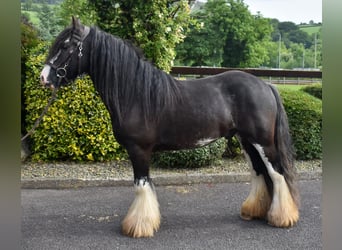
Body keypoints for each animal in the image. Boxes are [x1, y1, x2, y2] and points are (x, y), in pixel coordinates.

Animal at [40, 18, 298, 238]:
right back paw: (255, 212)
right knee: (260, 172)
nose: (44, 78)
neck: (134, 93)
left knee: (277, 174)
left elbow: (141, 186)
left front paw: (139, 227)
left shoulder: (139, 150)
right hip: (246, 141)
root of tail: (265, 85)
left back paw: (282, 218)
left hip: (263, 142)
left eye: (65, 46)